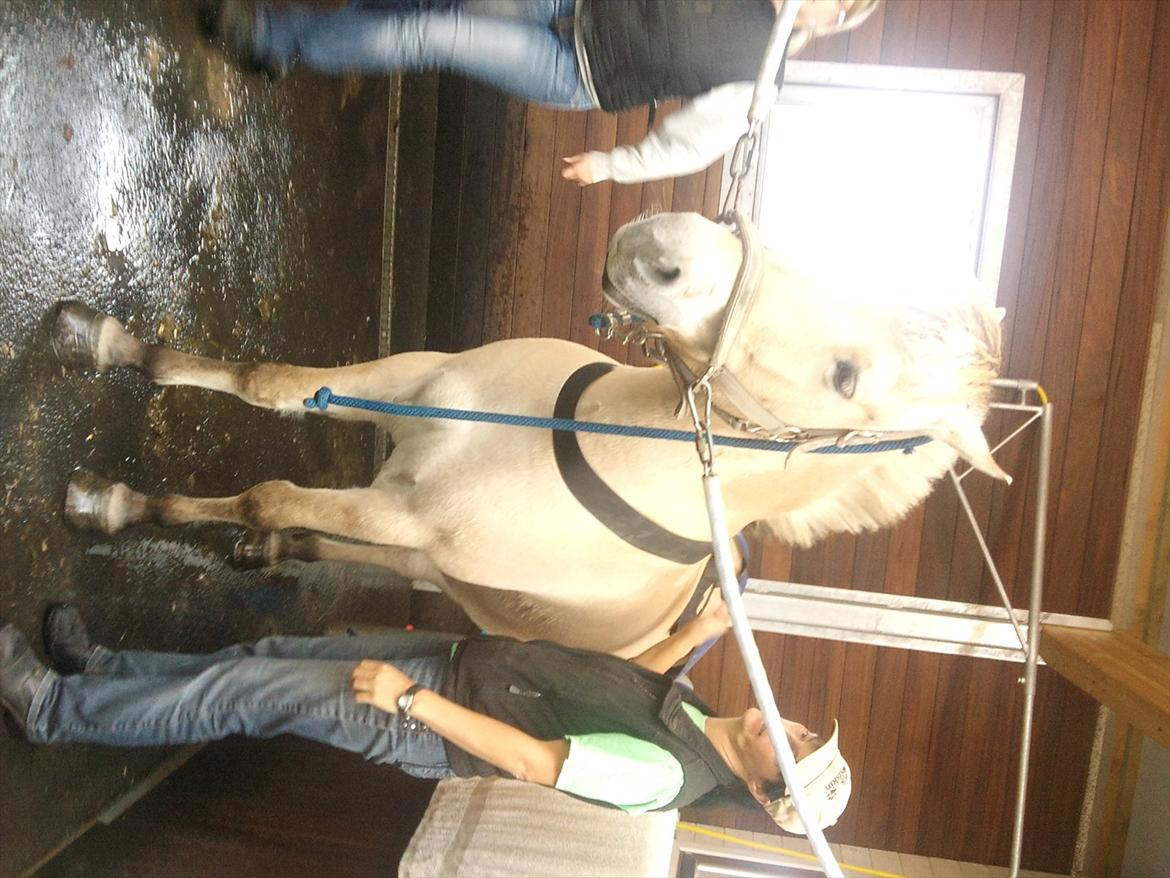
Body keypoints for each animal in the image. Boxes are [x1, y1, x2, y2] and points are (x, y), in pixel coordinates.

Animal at [52, 212, 1006, 657]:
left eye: (848, 378)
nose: (661, 246)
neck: (557, 443)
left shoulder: (411, 513)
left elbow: (265, 491)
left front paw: (110, 502)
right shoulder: (414, 383)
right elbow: (270, 383)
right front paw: (104, 341)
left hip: (434, 555)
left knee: (355, 547)